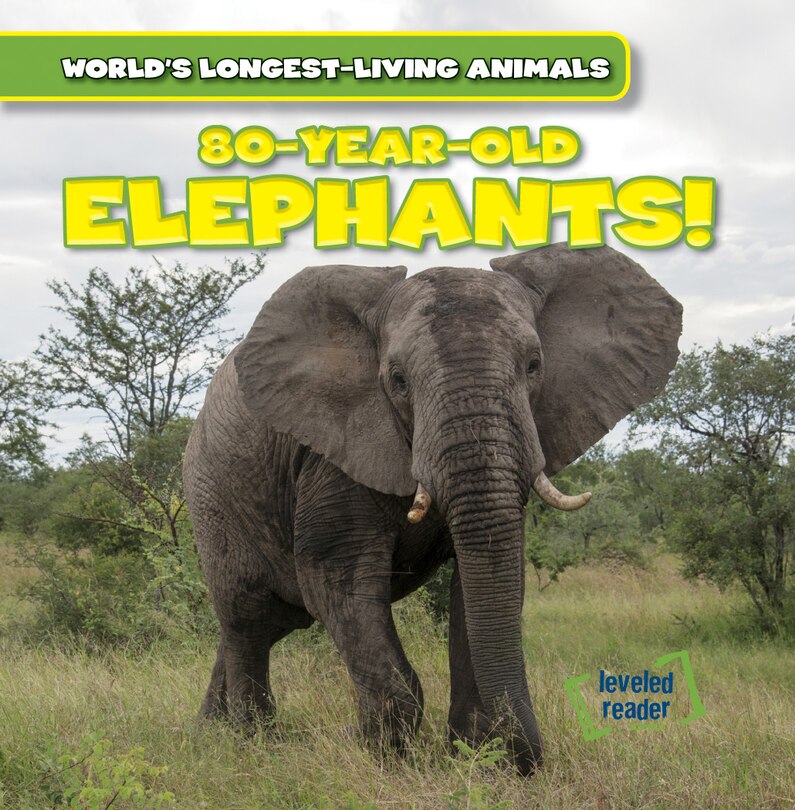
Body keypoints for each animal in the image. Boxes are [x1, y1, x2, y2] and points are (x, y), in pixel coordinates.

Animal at [183, 243, 682, 775]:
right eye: (398, 380)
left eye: (534, 365)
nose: (524, 762)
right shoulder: (334, 451)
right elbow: (337, 578)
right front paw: (385, 757)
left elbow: (484, 580)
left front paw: (473, 755)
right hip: (211, 494)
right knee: (247, 617)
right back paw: (252, 742)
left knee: (262, 623)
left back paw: (210, 733)